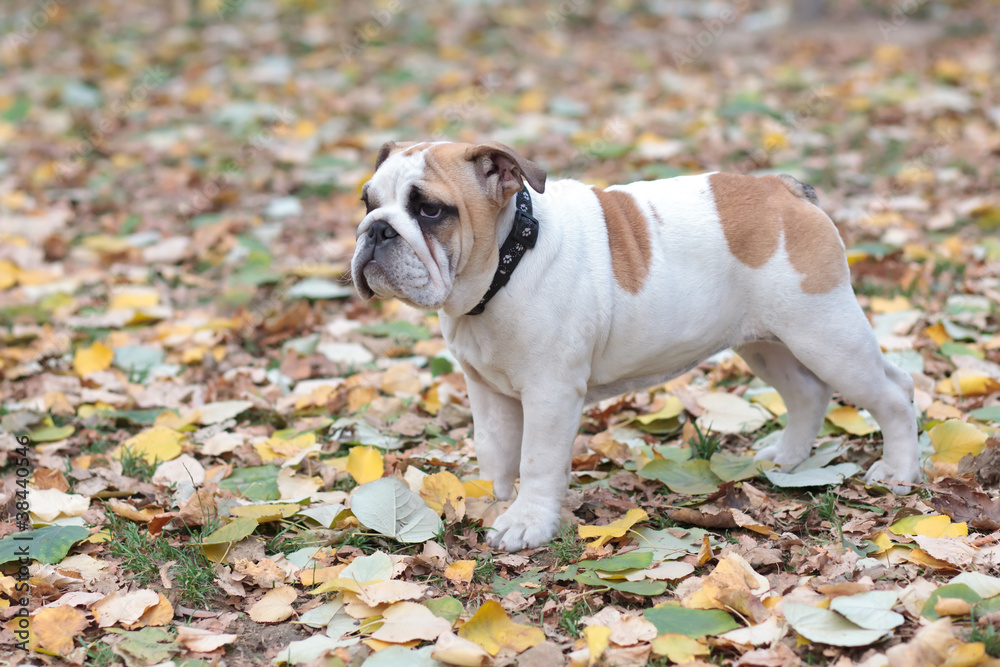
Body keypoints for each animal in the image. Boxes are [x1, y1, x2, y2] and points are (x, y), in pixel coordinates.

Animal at [352, 141, 920, 552]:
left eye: (430, 210)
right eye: (367, 202)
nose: (375, 230)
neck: (509, 259)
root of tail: (782, 189)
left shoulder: (550, 395)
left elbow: (536, 462)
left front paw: (527, 523)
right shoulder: (487, 392)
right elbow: (495, 455)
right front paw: (493, 504)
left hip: (826, 334)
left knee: (894, 392)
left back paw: (899, 470)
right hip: (767, 343)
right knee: (807, 393)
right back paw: (788, 456)